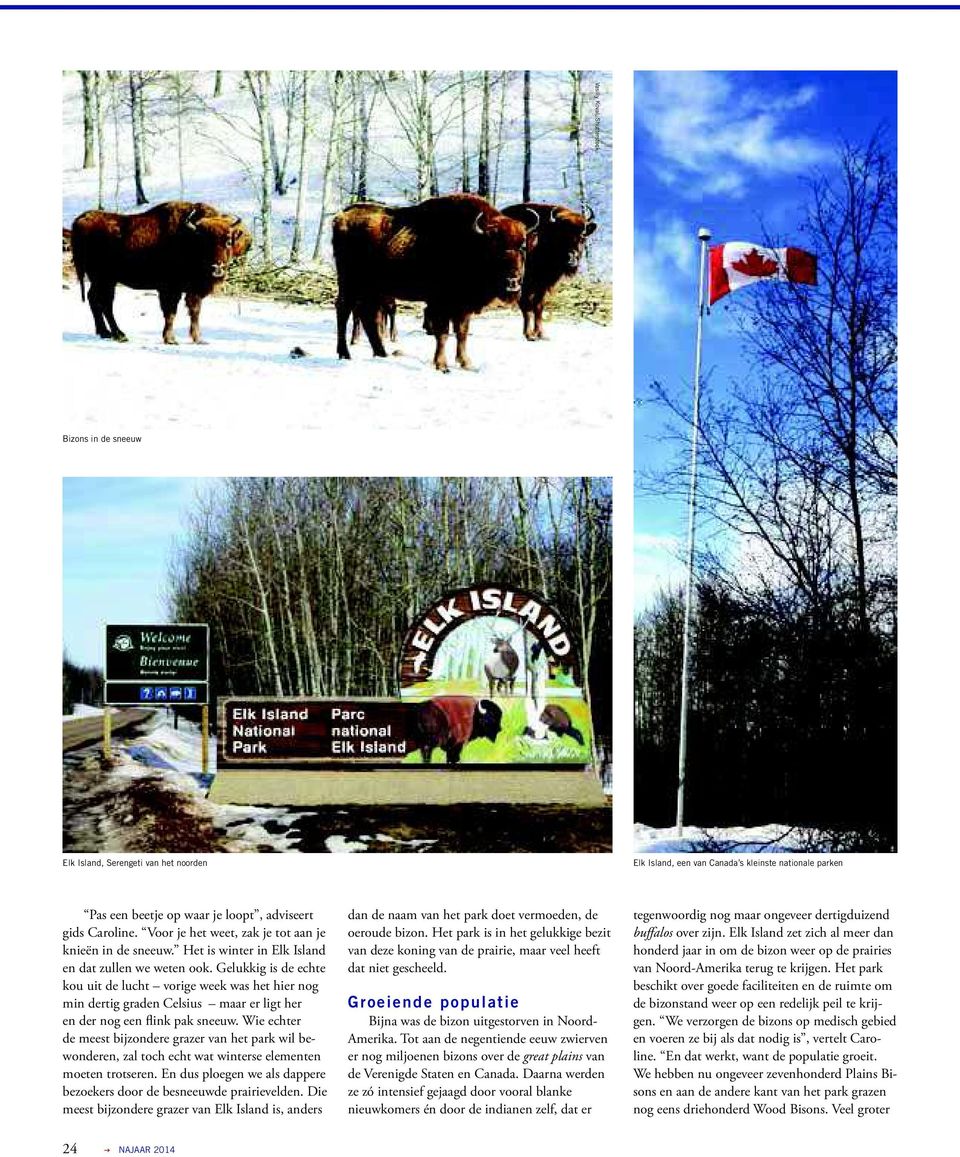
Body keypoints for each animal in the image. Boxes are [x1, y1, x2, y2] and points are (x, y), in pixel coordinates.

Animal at [72, 201, 252, 342]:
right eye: (204, 242)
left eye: (228, 241)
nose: (217, 268)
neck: (189, 238)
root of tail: (81, 220)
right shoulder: (171, 289)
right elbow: (170, 313)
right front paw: (170, 339)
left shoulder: (193, 291)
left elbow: (194, 312)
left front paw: (198, 339)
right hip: (104, 279)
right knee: (103, 302)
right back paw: (118, 334)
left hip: (104, 280)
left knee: (97, 300)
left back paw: (106, 333)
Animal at [335, 190, 536, 370]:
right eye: (494, 247)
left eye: (523, 246)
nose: (512, 282)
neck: (472, 242)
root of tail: (341, 217)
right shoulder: (440, 303)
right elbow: (443, 333)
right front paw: (441, 365)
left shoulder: (463, 305)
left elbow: (462, 332)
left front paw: (466, 363)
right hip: (350, 283)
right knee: (344, 310)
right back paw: (345, 354)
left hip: (373, 289)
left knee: (368, 316)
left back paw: (381, 353)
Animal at [499, 201, 596, 337]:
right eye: (562, 236)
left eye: (582, 237)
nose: (571, 259)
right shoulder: (525, 284)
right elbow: (527, 306)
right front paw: (529, 334)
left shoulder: (542, 285)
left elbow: (538, 306)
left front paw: (540, 333)